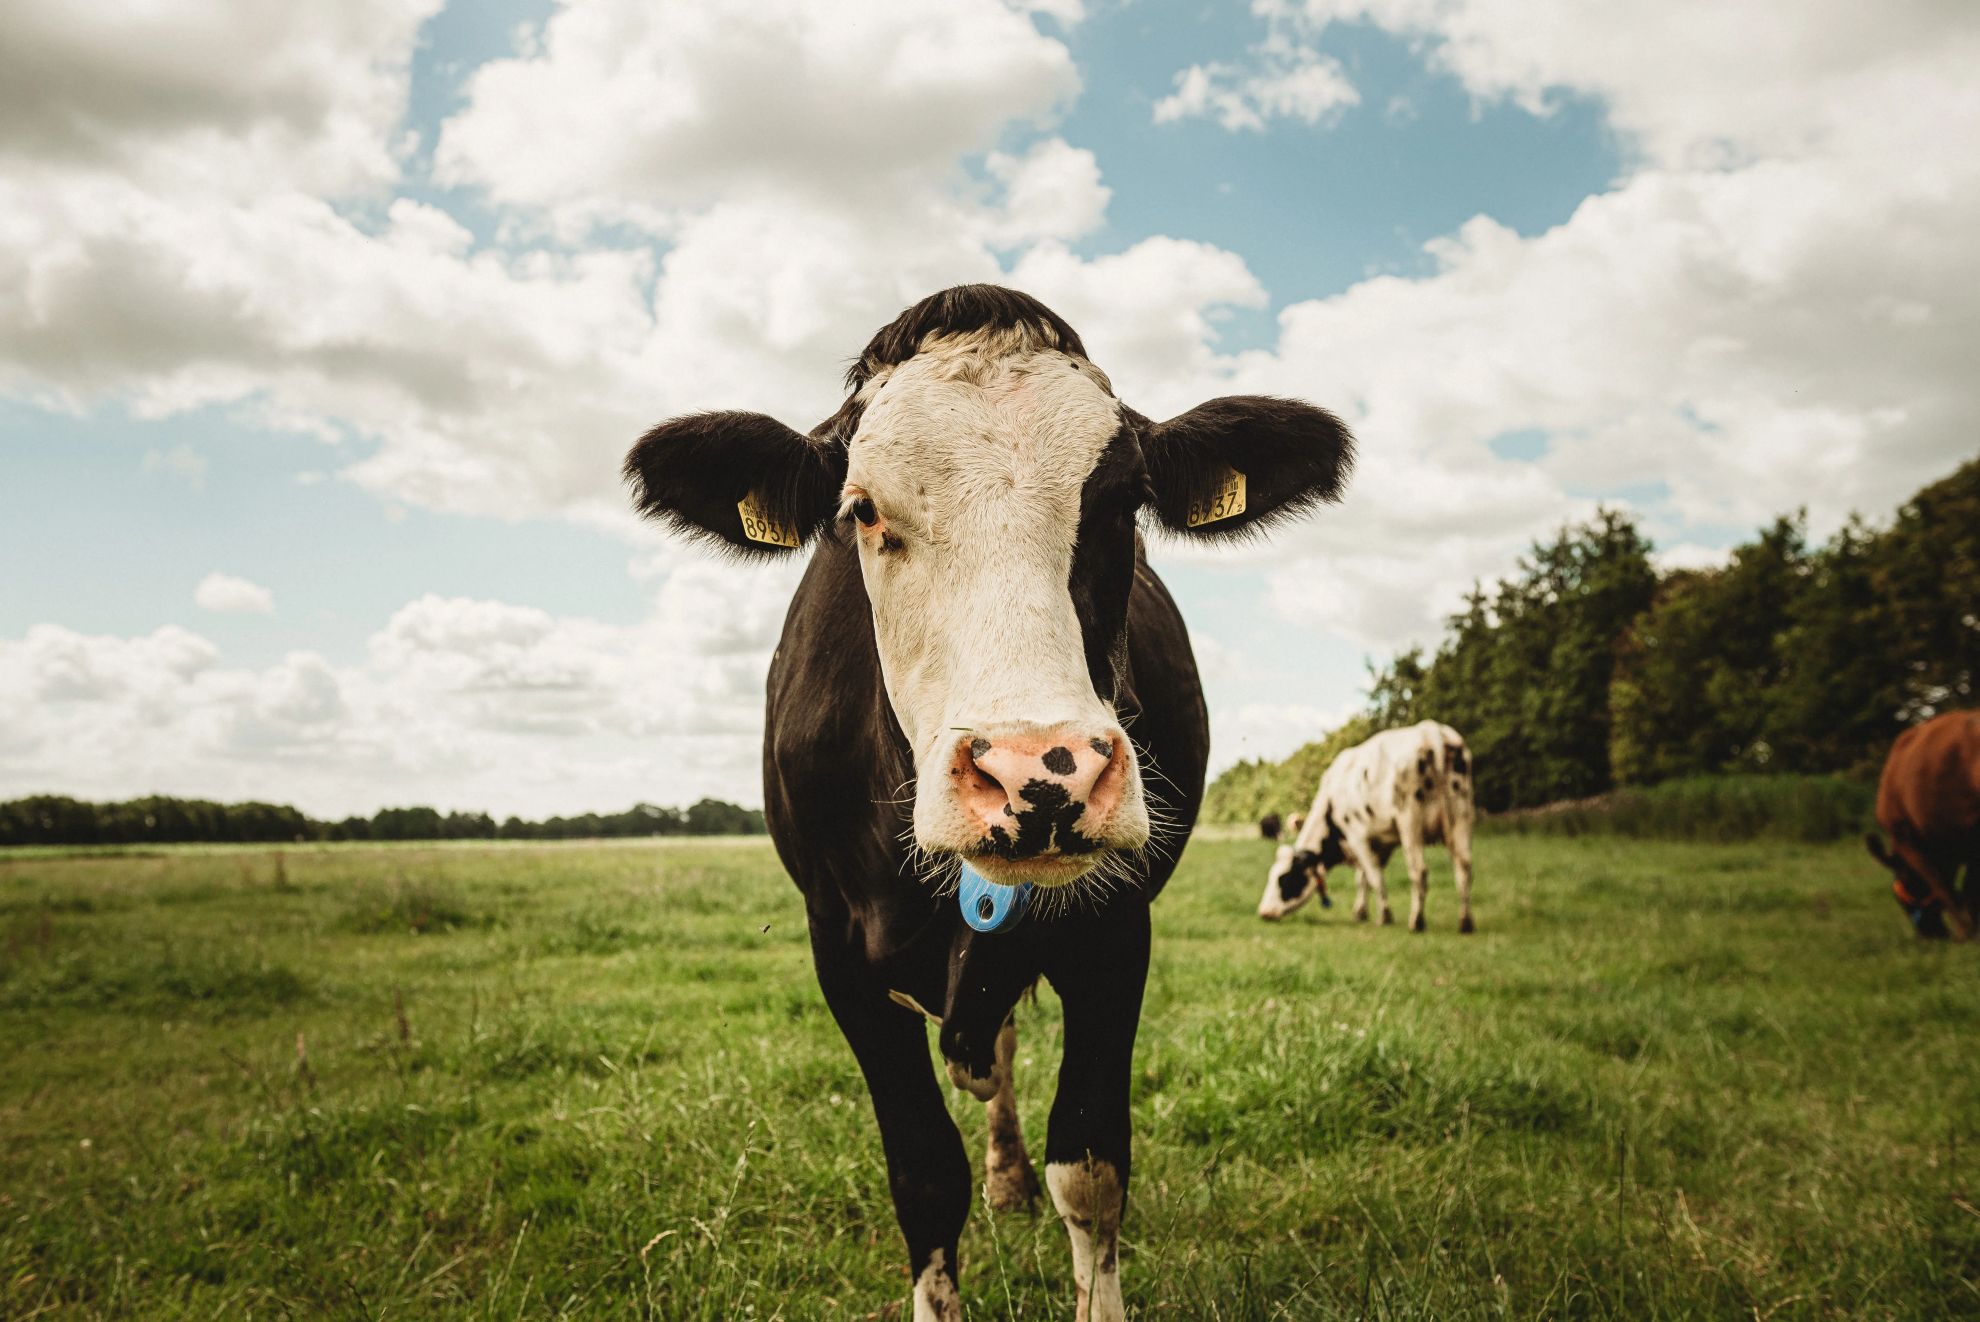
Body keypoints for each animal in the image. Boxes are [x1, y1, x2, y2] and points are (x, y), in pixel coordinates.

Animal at [624, 285, 1353, 1321]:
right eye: (860, 510)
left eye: (1124, 501)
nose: (1039, 773)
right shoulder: (838, 951)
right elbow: (926, 1175)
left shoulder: (1117, 930)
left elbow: (1089, 1165)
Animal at [1257, 721, 1475, 933]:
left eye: (1285, 878)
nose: (1264, 912)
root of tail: (1431, 732)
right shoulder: (1380, 843)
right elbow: (1363, 878)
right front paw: (1361, 912)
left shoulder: (1358, 837)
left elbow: (1373, 877)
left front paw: (1384, 916)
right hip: (1461, 815)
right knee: (1464, 866)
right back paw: (1465, 922)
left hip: (1409, 821)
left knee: (1419, 871)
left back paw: (1416, 922)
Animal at [1865, 710, 1980, 940]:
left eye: (1900, 893)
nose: (1929, 934)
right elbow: (1969, 886)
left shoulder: (1906, 838)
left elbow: (1943, 885)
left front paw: (1966, 931)